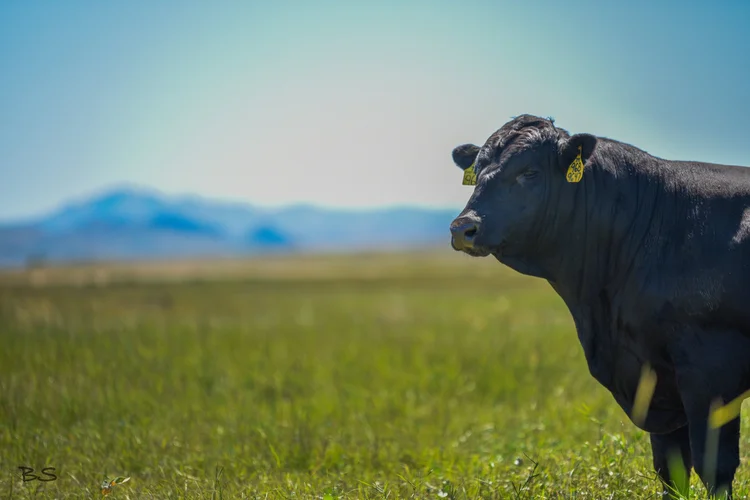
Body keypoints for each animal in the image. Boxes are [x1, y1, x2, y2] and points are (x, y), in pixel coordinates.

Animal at [449, 114, 750, 499]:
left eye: (529, 172)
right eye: (478, 170)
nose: (463, 228)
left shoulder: (711, 374)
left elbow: (715, 468)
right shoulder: (654, 377)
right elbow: (671, 468)